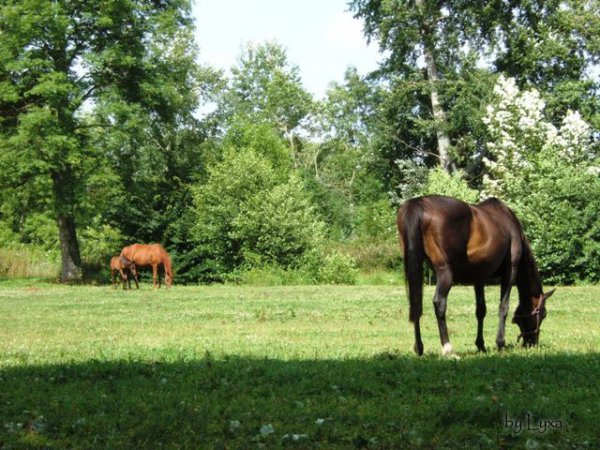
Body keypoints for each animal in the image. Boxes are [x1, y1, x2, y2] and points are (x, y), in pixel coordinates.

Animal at [396, 195, 556, 356]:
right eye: (543, 313)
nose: (532, 342)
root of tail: (418, 203)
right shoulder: (510, 272)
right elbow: (503, 307)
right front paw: (500, 343)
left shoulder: (479, 278)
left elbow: (480, 310)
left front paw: (481, 345)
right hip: (445, 273)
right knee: (439, 303)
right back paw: (447, 348)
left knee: (415, 302)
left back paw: (419, 347)